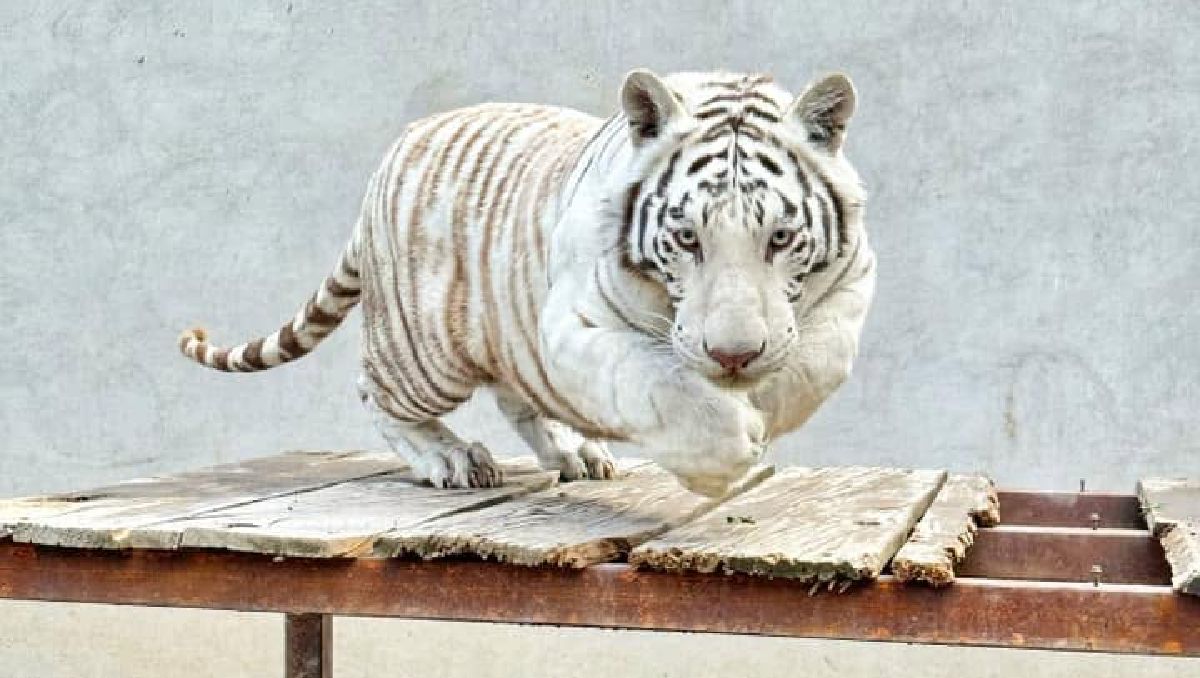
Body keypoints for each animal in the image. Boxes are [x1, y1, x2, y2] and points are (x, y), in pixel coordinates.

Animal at [178, 69, 876, 498]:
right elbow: (659, 385)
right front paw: (722, 456)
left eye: (780, 238)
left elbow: (819, 360)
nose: (732, 356)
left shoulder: (853, 281)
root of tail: (397, 149)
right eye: (686, 239)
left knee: (519, 397)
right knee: (374, 391)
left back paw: (577, 454)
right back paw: (450, 458)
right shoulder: (572, 324)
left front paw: (765, 403)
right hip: (425, 352)